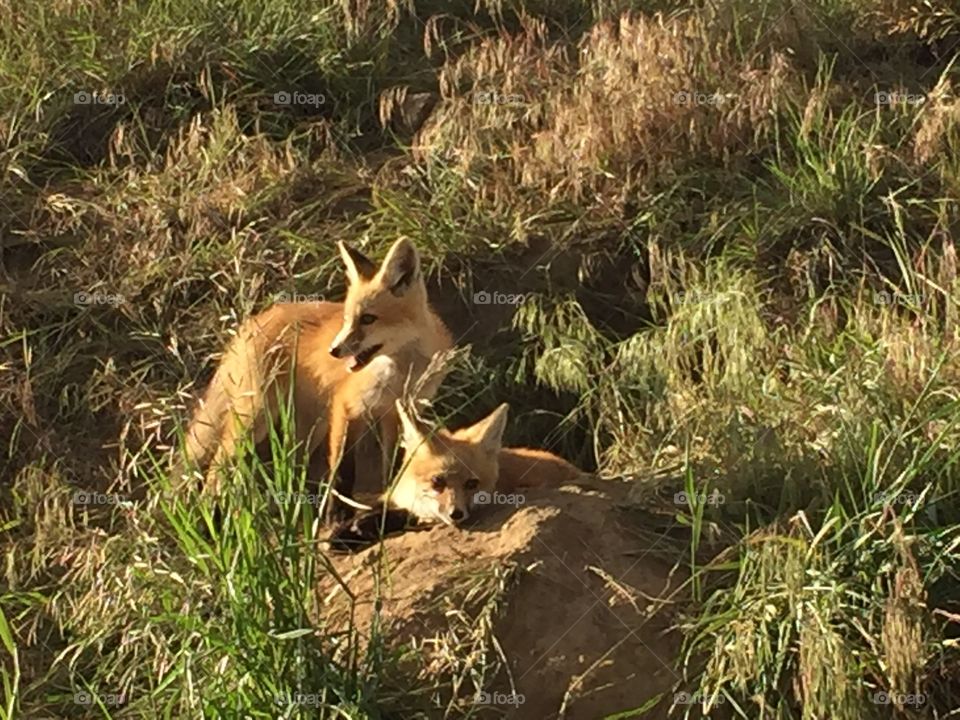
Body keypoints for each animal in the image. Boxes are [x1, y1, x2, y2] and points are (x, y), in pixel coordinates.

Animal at [180, 237, 453, 518]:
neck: (402, 374)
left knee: (290, 463)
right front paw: (333, 511)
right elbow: (339, 468)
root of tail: (251, 321)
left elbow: (391, 464)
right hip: (257, 417)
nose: (334, 351)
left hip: (308, 425)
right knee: (217, 464)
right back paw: (210, 512)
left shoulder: (395, 412)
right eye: (347, 319)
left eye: (368, 319)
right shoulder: (345, 405)